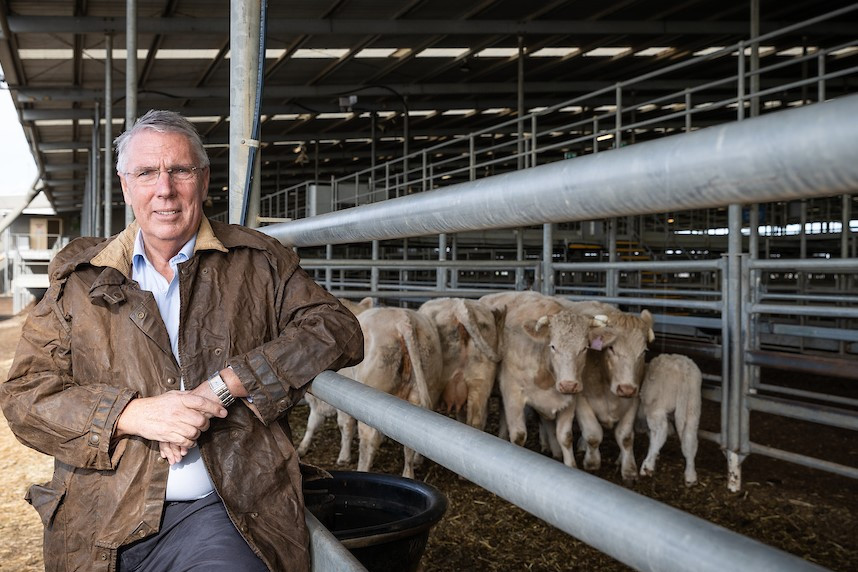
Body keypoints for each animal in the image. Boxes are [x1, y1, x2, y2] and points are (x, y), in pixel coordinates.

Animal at [336, 308, 442, 478]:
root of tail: (403, 320)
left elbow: (345, 424)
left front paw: (343, 457)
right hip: (425, 387)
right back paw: (408, 474)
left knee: (368, 438)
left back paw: (363, 469)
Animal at [474, 292, 600, 466]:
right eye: (553, 346)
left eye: (584, 348)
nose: (568, 385)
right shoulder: (512, 394)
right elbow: (519, 436)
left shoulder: (569, 400)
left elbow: (565, 437)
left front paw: (570, 466)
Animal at [576, 308, 656, 482]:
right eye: (611, 348)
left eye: (643, 351)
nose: (626, 389)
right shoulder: (581, 400)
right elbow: (592, 435)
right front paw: (592, 463)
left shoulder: (634, 400)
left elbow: (625, 437)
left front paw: (629, 470)